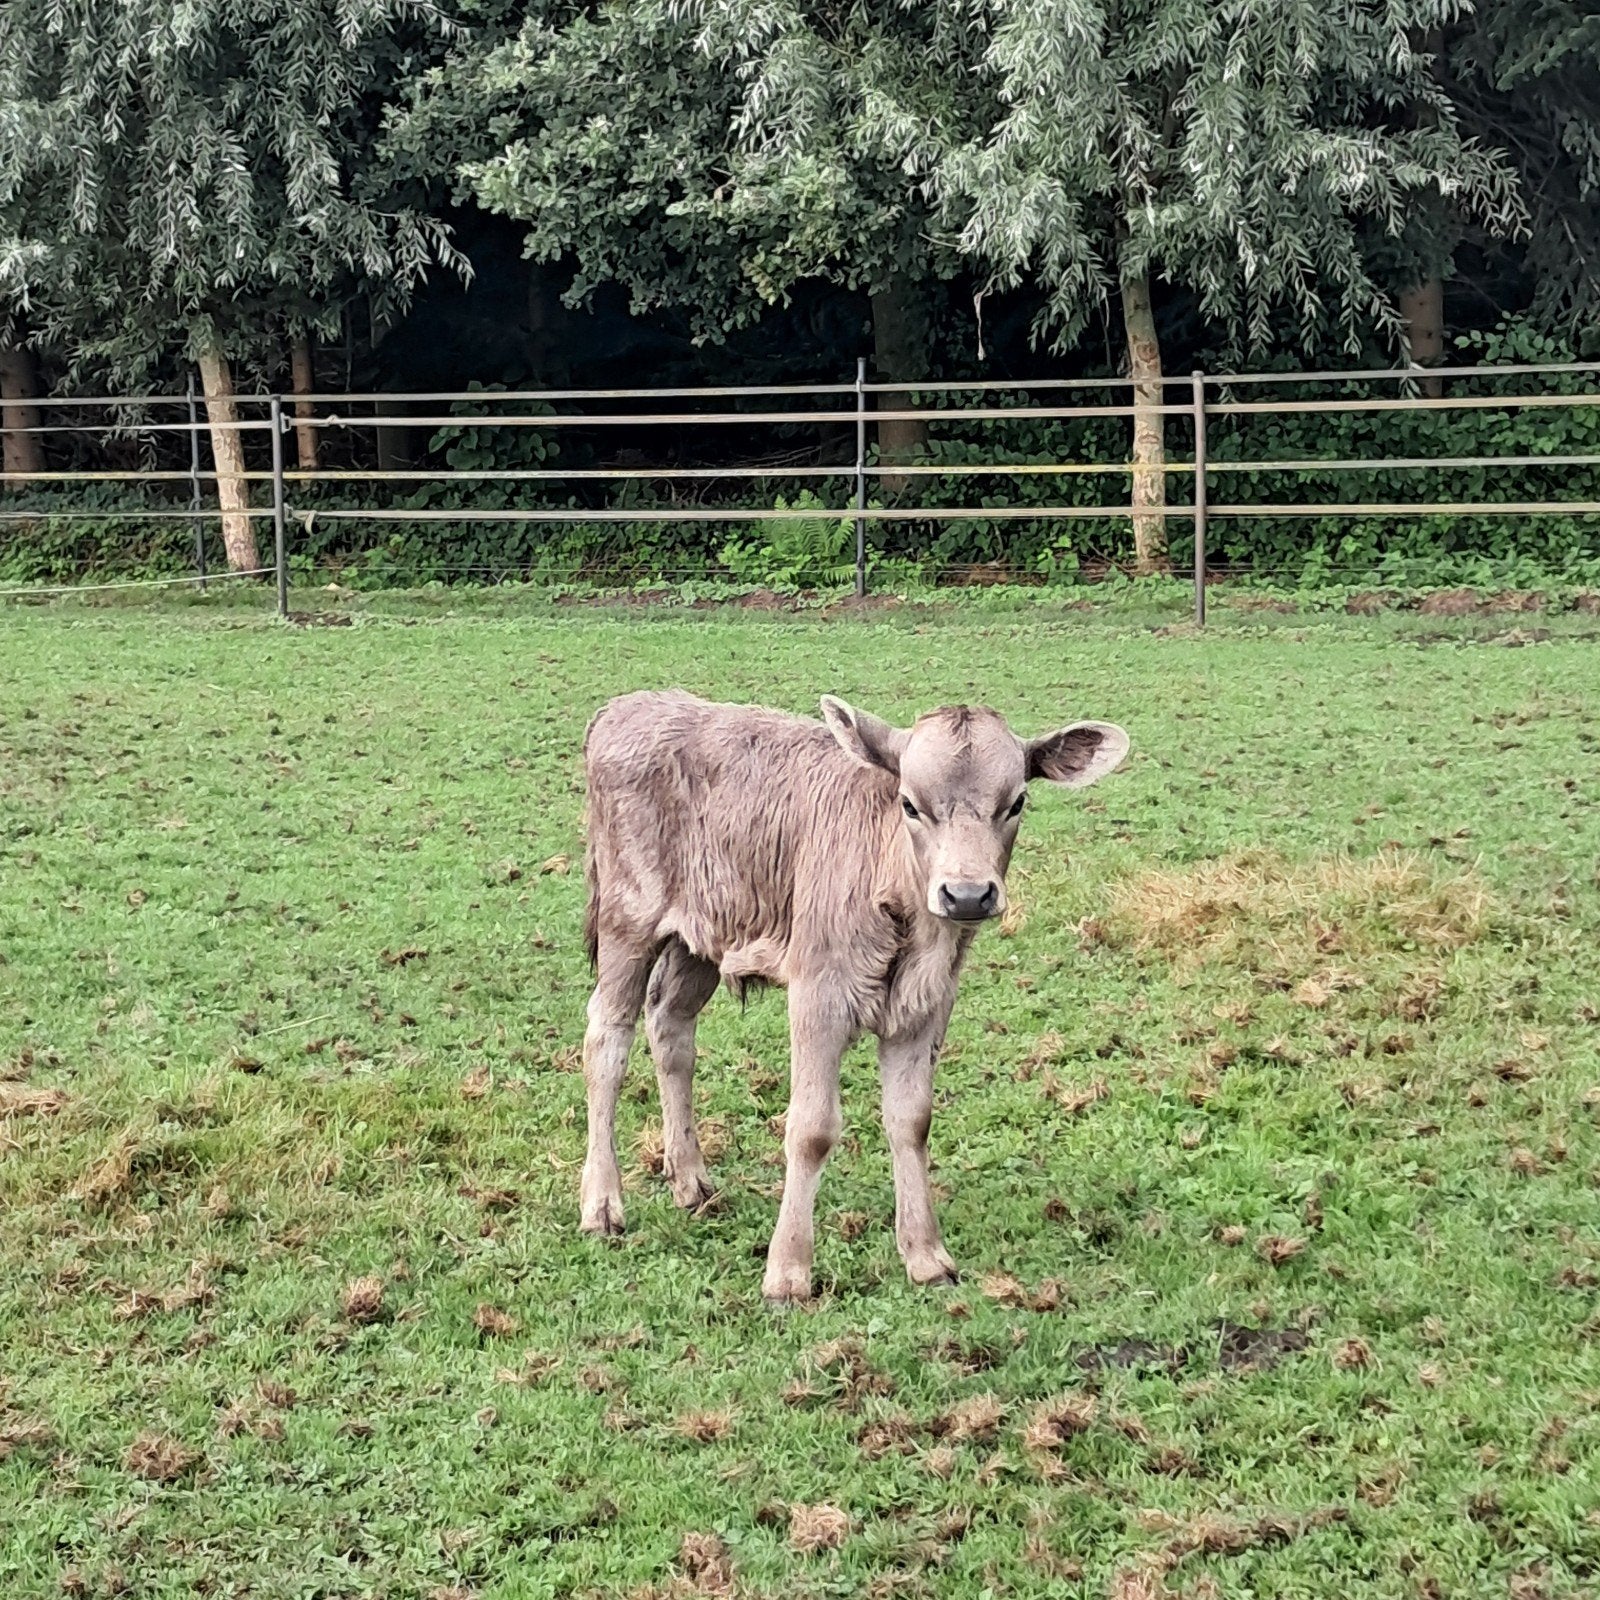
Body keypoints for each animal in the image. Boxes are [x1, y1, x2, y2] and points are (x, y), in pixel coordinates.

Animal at [578, 690, 1130, 1303]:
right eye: (910, 804)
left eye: (1016, 802)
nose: (966, 894)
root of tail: (630, 704)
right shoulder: (817, 996)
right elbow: (812, 1128)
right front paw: (788, 1272)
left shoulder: (927, 1008)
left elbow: (912, 1121)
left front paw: (926, 1255)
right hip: (628, 918)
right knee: (607, 1038)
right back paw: (602, 1204)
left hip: (703, 935)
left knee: (671, 1028)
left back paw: (691, 1180)